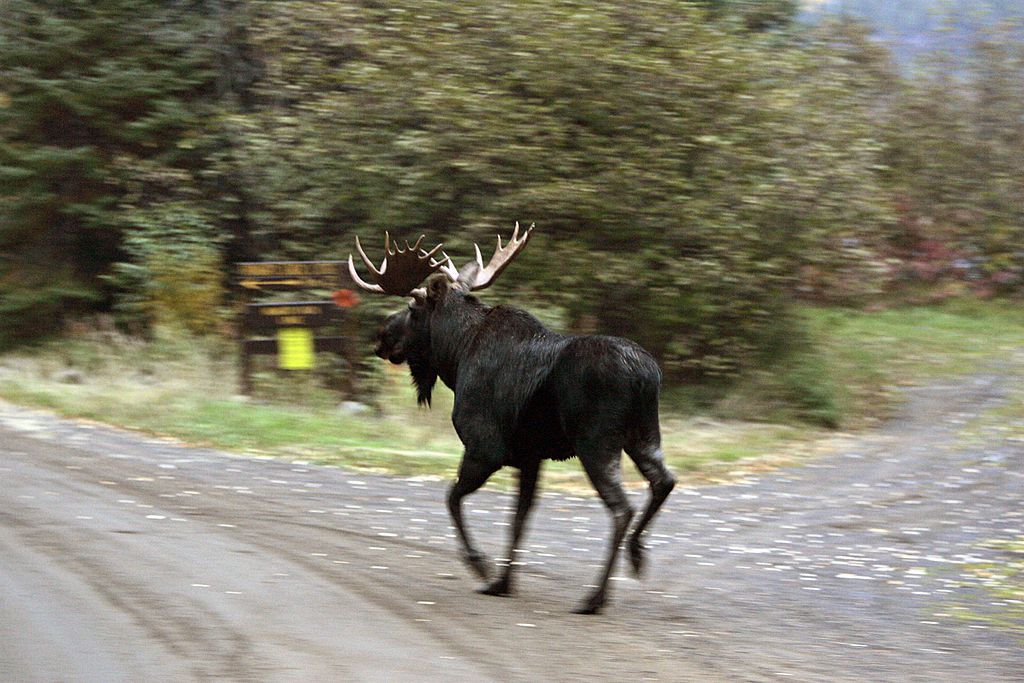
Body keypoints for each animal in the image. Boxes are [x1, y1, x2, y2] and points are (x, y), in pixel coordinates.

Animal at [348, 224, 675, 614]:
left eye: (413, 307)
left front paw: (480, 566)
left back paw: (594, 598)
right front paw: (502, 582)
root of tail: (647, 375)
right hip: (645, 435)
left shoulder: (485, 447)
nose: (380, 336)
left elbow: (452, 499)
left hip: (597, 442)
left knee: (622, 507)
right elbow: (518, 519)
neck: (455, 358)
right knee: (664, 481)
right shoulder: (531, 457)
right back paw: (637, 555)